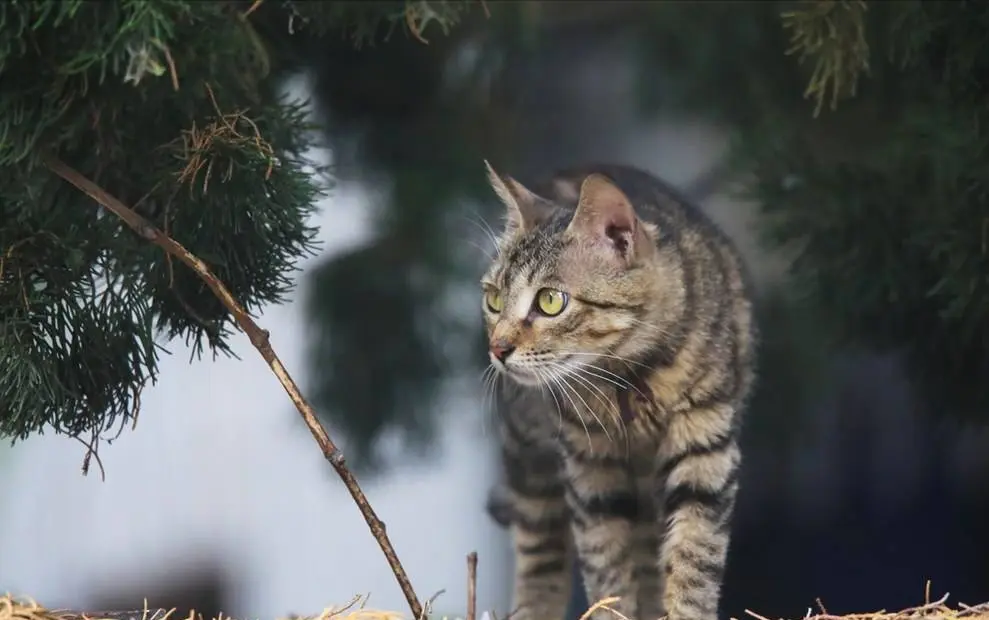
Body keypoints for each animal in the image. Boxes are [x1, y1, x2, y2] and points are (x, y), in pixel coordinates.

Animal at [478, 162, 756, 620]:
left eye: (550, 301)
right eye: (494, 299)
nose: (498, 349)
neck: (629, 375)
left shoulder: (705, 448)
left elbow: (694, 559)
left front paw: (684, 609)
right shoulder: (589, 470)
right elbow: (606, 569)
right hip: (531, 458)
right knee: (540, 553)